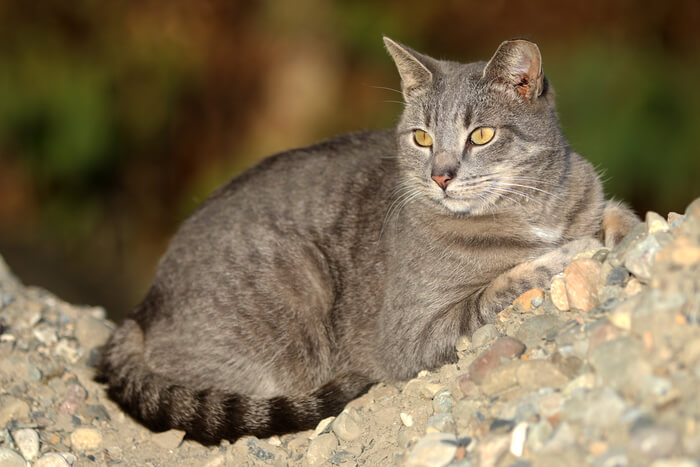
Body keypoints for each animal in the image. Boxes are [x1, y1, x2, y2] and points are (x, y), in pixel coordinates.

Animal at [97, 37, 640, 446]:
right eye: (421, 138)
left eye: (481, 135)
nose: (440, 176)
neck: (529, 210)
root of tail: (143, 308)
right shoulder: (414, 334)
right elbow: (503, 284)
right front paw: (568, 253)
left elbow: (615, 212)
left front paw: (621, 232)